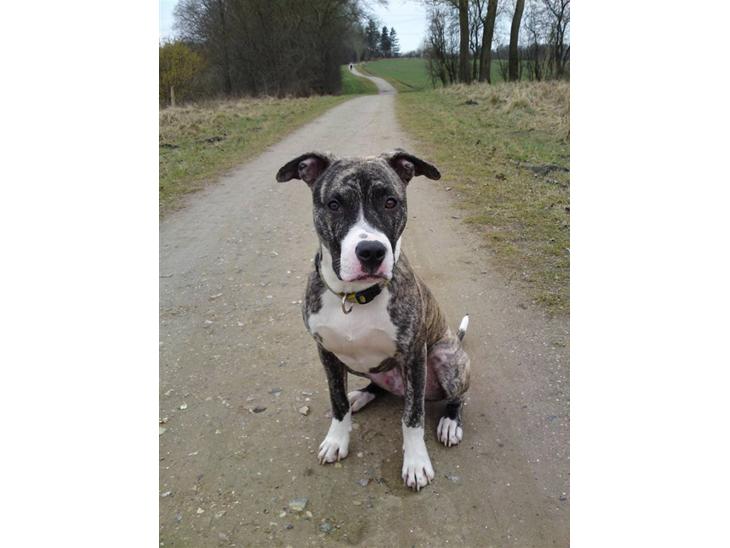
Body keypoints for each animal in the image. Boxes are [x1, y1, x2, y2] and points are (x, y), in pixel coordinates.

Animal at [276, 149, 471, 491]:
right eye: (334, 204)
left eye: (390, 202)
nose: (371, 252)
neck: (353, 297)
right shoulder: (326, 353)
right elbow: (337, 401)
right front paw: (337, 439)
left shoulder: (414, 355)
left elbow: (413, 417)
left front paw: (416, 462)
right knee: (375, 386)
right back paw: (362, 395)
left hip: (444, 356)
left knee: (455, 397)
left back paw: (450, 422)